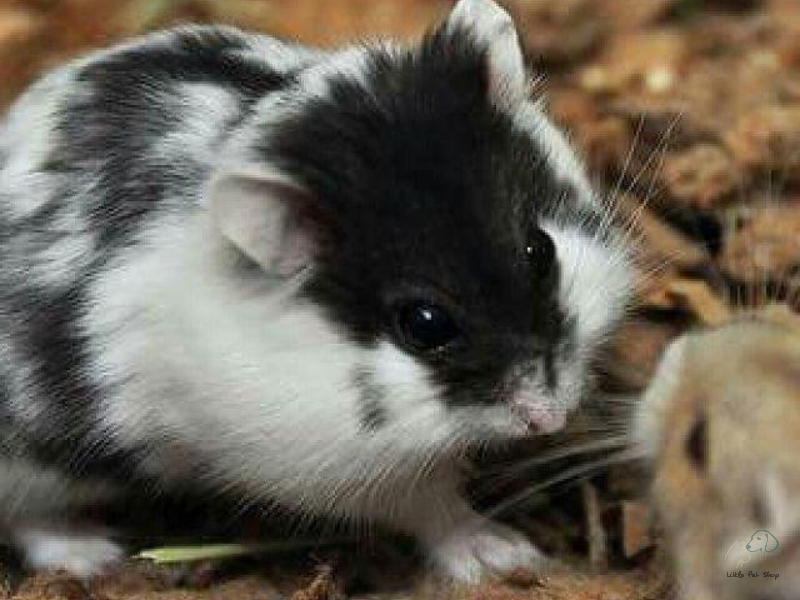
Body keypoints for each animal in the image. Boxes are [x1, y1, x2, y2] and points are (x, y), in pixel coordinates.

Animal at [0, 0, 632, 582]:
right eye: (424, 324)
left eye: (539, 250)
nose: (550, 419)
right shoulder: (336, 469)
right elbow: (434, 506)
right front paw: (507, 556)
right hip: (35, 467)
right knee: (30, 519)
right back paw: (93, 556)